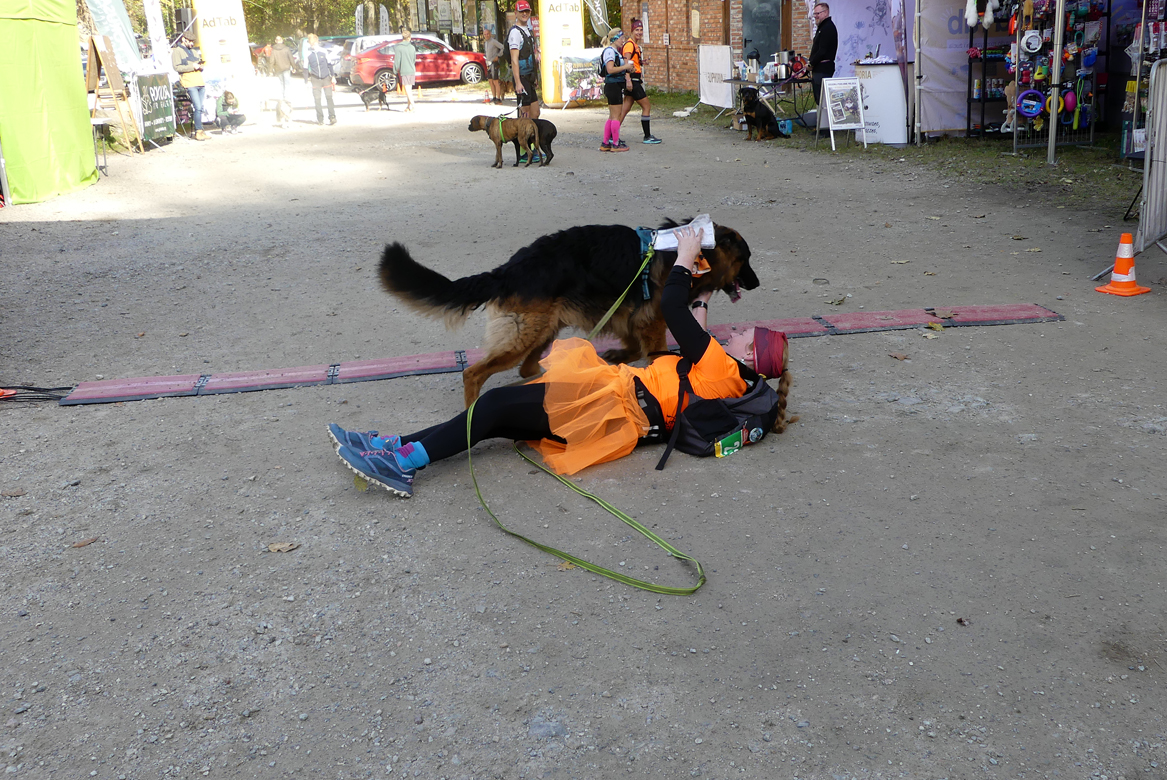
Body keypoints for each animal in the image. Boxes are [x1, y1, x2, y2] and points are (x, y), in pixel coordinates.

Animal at [379, 219, 760, 406]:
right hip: (526, 334)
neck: (695, 246)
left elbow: (631, 340)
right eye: (745, 259)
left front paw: (620, 356)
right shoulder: (653, 319)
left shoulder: (627, 312)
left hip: (544, 328)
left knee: (526, 367)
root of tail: (509, 269)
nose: (756, 283)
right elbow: (653, 350)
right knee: (475, 373)